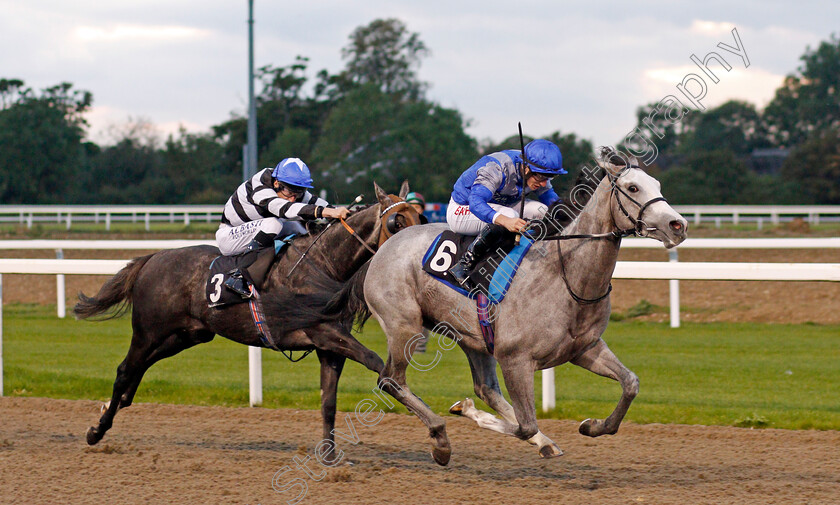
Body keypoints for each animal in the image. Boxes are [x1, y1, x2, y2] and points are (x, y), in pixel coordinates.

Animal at [72, 182, 420, 452]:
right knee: (124, 370)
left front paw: (329, 456)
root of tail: (152, 258)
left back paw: (117, 403)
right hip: (149, 330)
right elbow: (376, 361)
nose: (416, 254)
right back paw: (97, 430)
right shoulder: (323, 331)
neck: (323, 265)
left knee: (138, 369)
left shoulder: (329, 345)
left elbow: (329, 402)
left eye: (421, 216)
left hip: (186, 335)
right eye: (396, 222)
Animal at [334, 153, 688, 464]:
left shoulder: (584, 348)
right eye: (633, 188)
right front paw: (468, 412)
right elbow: (524, 424)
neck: (565, 274)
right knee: (390, 380)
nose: (678, 225)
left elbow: (630, 384)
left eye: (657, 184)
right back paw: (441, 438)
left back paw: (543, 442)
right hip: (404, 327)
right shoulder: (515, 359)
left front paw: (593, 426)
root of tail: (382, 248)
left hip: (473, 337)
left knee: (486, 388)